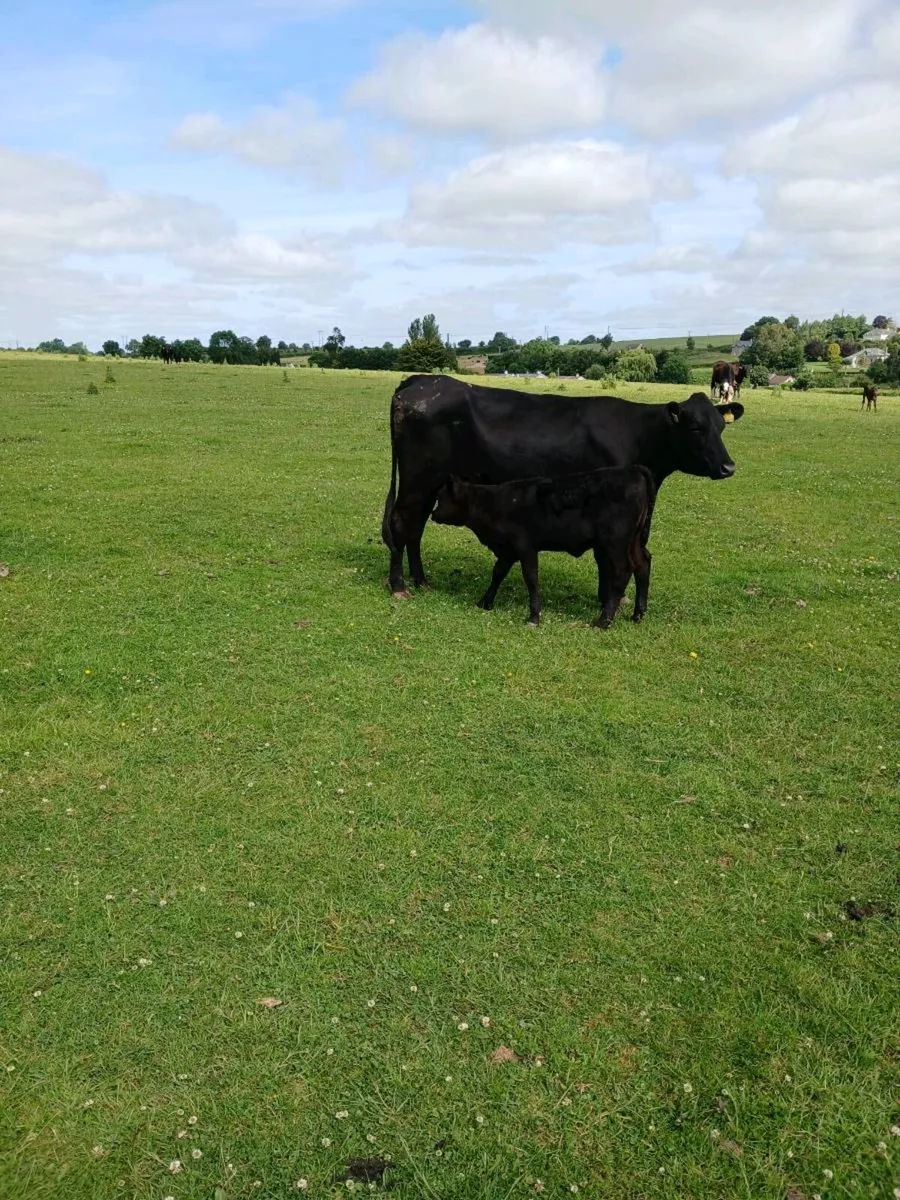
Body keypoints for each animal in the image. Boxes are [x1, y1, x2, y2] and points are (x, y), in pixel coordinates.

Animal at [382, 375, 744, 597]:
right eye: (695, 427)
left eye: (720, 427)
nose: (728, 467)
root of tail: (419, 381)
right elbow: (604, 557)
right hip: (417, 480)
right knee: (401, 523)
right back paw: (399, 586)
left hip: (431, 484)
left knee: (415, 527)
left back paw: (421, 580)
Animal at [431, 466, 654, 628]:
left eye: (440, 498)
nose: (433, 514)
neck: (494, 503)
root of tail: (633, 471)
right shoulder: (508, 550)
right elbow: (498, 573)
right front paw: (484, 602)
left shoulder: (525, 547)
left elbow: (531, 579)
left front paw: (533, 617)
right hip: (633, 541)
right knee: (642, 563)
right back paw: (638, 614)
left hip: (615, 542)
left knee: (623, 571)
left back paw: (603, 621)